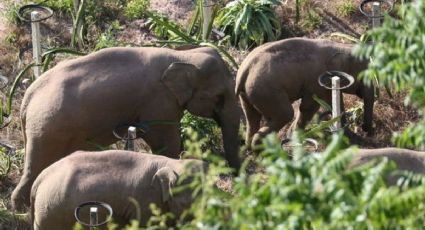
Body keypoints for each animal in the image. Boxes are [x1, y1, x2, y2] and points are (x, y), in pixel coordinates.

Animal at [11, 45, 240, 211]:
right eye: (219, 97)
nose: (235, 181)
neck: (183, 55)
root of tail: (27, 98)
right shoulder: (160, 103)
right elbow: (166, 143)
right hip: (47, 128)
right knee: (36, 164)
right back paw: (21, 208)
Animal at [235, 38, 374, 148]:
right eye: (364, 76)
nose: (366, 130)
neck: (339, 45)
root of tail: (244, 71)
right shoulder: (316, 80)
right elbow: (309, 106)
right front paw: (294, 136)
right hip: (266, 91)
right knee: (286, 114)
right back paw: (261, 149)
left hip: (249, 94)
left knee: (252, 117)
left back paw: (250, 147)